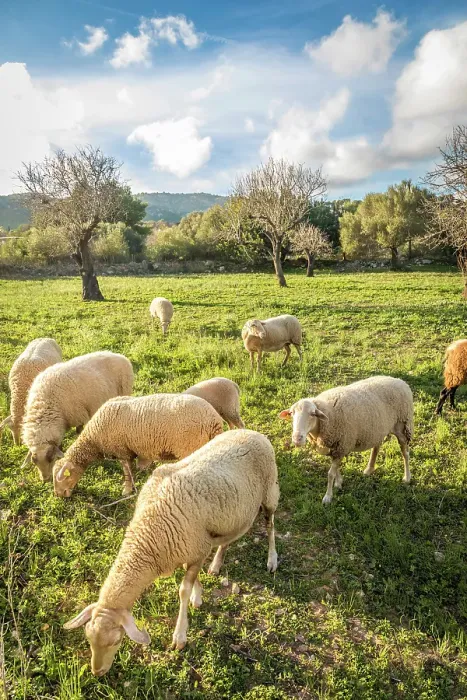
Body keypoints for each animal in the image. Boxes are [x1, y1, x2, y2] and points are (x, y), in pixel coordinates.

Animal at [22, 351, 134, 482]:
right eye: (34, 461)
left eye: (50, 458)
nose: (46, 479)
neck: (45, 404)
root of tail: (119, 355)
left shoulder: (78, 414)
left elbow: (79, 431)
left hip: (124, 390)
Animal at [53, 393, 224, 497]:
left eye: (65, 478)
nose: (59, 495)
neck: (93, 439)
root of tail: (214, 421)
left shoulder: (121, 450)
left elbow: (127, 472)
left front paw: (127, 490)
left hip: (191, 447)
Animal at [63, 429, 279, 675]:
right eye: (89, 640)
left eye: (116, 641)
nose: (97, 672)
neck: (148, 536)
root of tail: (252, 432)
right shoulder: (191, 547)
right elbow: (192, 579)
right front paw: (198, 595)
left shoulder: (197, 548)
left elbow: (183, 590)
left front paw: (180, 634)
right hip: (236, 513)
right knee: (230, 538)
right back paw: (216, 564)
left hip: (270, 491)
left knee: (271, 524)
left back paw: (272, 559)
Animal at [279, 375, 413, 504]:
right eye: (291, 413)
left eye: (313, 414)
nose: (297, 438)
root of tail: (400, 381)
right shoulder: (334, 446)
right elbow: (335, 468)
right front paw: (339, 482)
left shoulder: (341, 445)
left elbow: (330, 474)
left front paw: (328, 497)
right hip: (378, 428)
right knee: (376, 446)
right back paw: (369, 469)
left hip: (402, 425)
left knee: (405, 453)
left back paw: (407, 477)